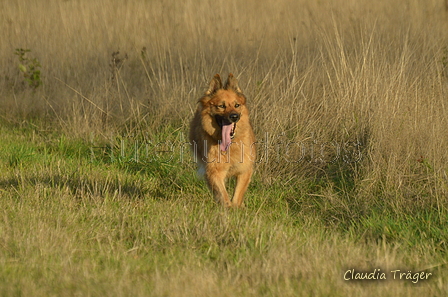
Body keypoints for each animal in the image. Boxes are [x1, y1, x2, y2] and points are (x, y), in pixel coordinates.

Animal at [189, 73, 256, 207]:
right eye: (221, 106)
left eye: (237, 105)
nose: (234, 116)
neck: (230, 145)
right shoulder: (214, 171)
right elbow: (223, 195)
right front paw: (227, 207)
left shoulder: (244, 170)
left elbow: (237, 195)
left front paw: (236, 207)